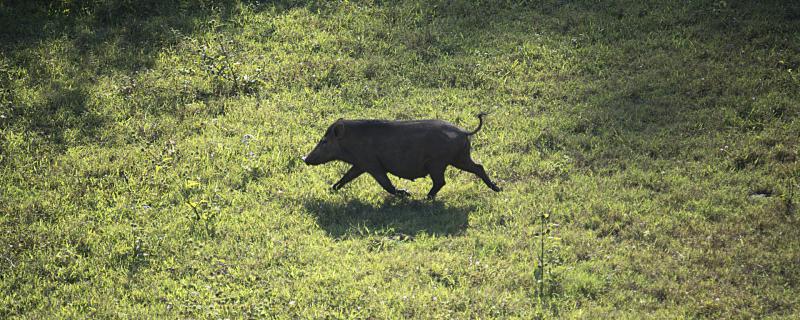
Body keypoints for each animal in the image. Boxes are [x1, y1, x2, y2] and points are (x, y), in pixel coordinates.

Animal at [304, 112, 500, 198]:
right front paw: (331, 189)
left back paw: (424, 198)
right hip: (459, 158)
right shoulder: (360, 164)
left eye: (324, 141)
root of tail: (463, 132)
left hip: (439, 163)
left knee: (441, 181)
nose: (304, 158)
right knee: (478, 167)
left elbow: (386, 183)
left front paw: (405, 193)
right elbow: (346, 178)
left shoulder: (371, 164)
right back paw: (498, 189)